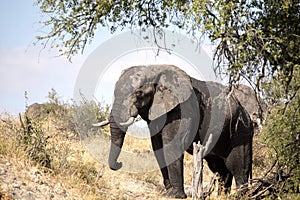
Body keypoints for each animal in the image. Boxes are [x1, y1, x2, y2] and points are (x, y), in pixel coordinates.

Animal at [94, 65, 253, 198]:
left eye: (139, 93)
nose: (119, 163)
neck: (154, 69)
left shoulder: (182, 110)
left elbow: (173, 145)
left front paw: (175, 195)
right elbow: (158, 147)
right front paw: (168, 192)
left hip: (240, 133)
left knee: (238, 168)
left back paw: (240, 196)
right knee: (221, 169)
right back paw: (223, 196)